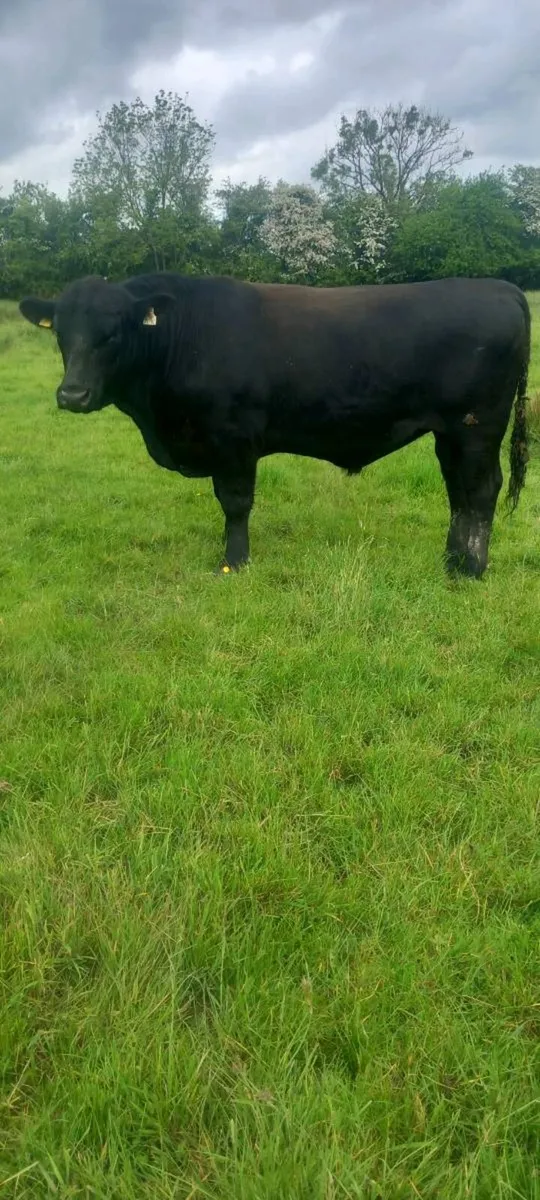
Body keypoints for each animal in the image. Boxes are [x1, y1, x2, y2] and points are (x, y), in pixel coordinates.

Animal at [19, 272, 530, 579]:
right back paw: (452, 559)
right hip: (450, 433)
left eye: (114, 332)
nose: (72, 395)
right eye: (61, 332)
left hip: (479, 425)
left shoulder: (234, 437)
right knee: (458, 492)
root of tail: (502, 287)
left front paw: (234, 562)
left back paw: (472, 568)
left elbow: (235, 503)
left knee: (481, 490)